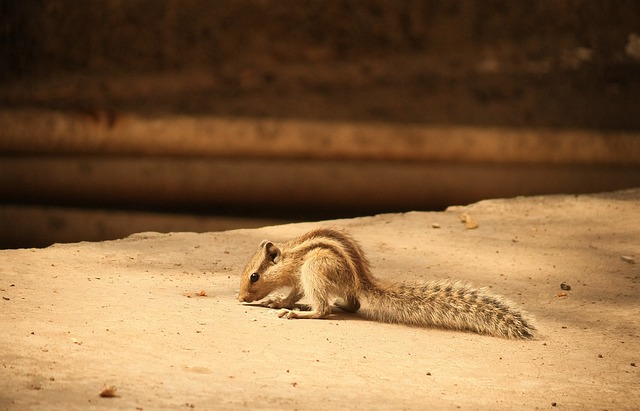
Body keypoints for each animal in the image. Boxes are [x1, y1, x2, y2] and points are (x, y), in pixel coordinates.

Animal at [238, 227, 536, 340]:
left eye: (254, 276)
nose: (241, 298)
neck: (289, 255)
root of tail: (362, 280)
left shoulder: (302, 272)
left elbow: (294, 293)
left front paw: (280, 303)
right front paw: (273, 300)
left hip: (316, 268)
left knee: (324, 309)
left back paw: (301, 313)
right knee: (352, 305)